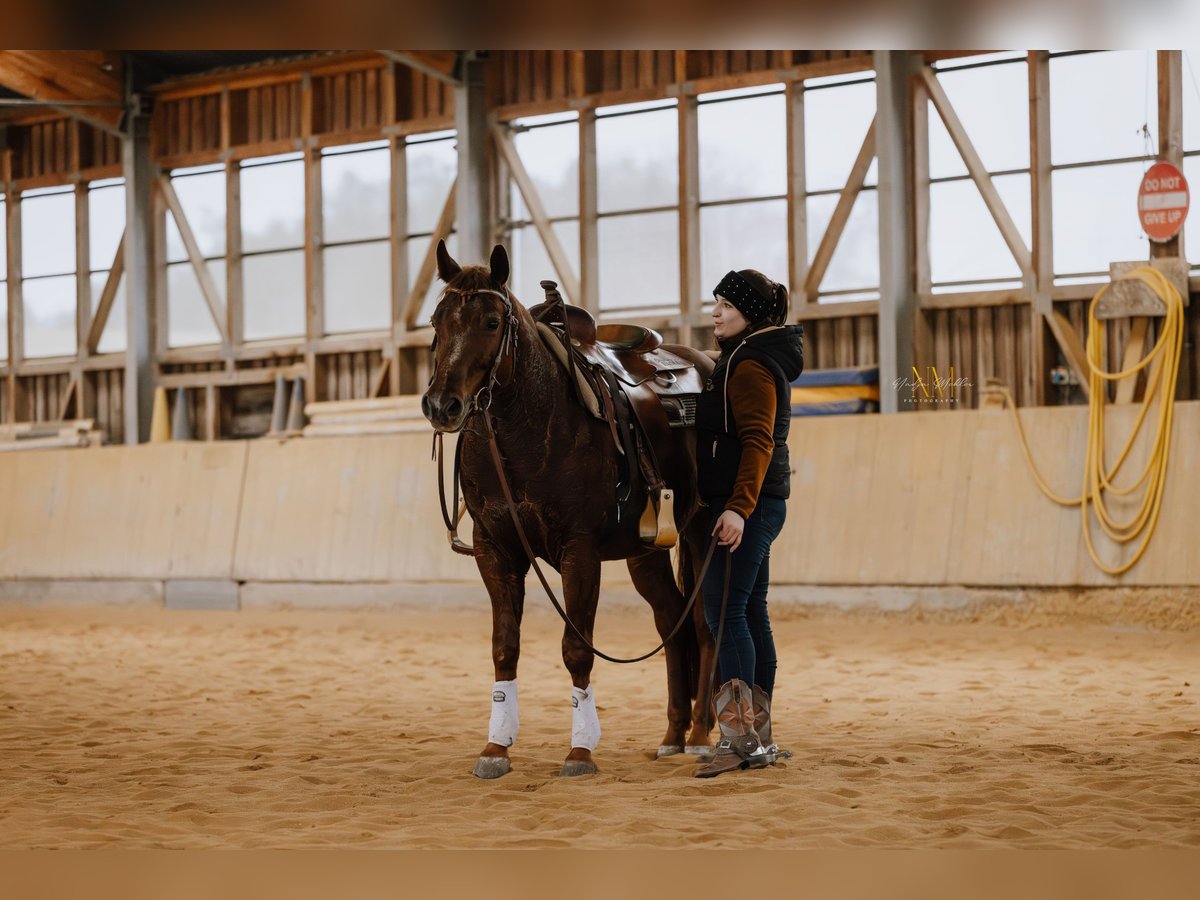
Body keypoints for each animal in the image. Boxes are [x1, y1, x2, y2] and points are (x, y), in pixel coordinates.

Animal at [424, 243, 710, 777]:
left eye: (491, 321)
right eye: (436, 321)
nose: (441, 405)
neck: (527, 425)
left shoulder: (580, 550)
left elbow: (577, 649)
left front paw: (580, 750)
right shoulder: (495, 550)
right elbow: (504, 646)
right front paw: (495, 747)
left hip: (704, 531)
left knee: (703, 621)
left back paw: (702, 735)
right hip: (645, 553)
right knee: (671, 620)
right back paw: (672, 735)